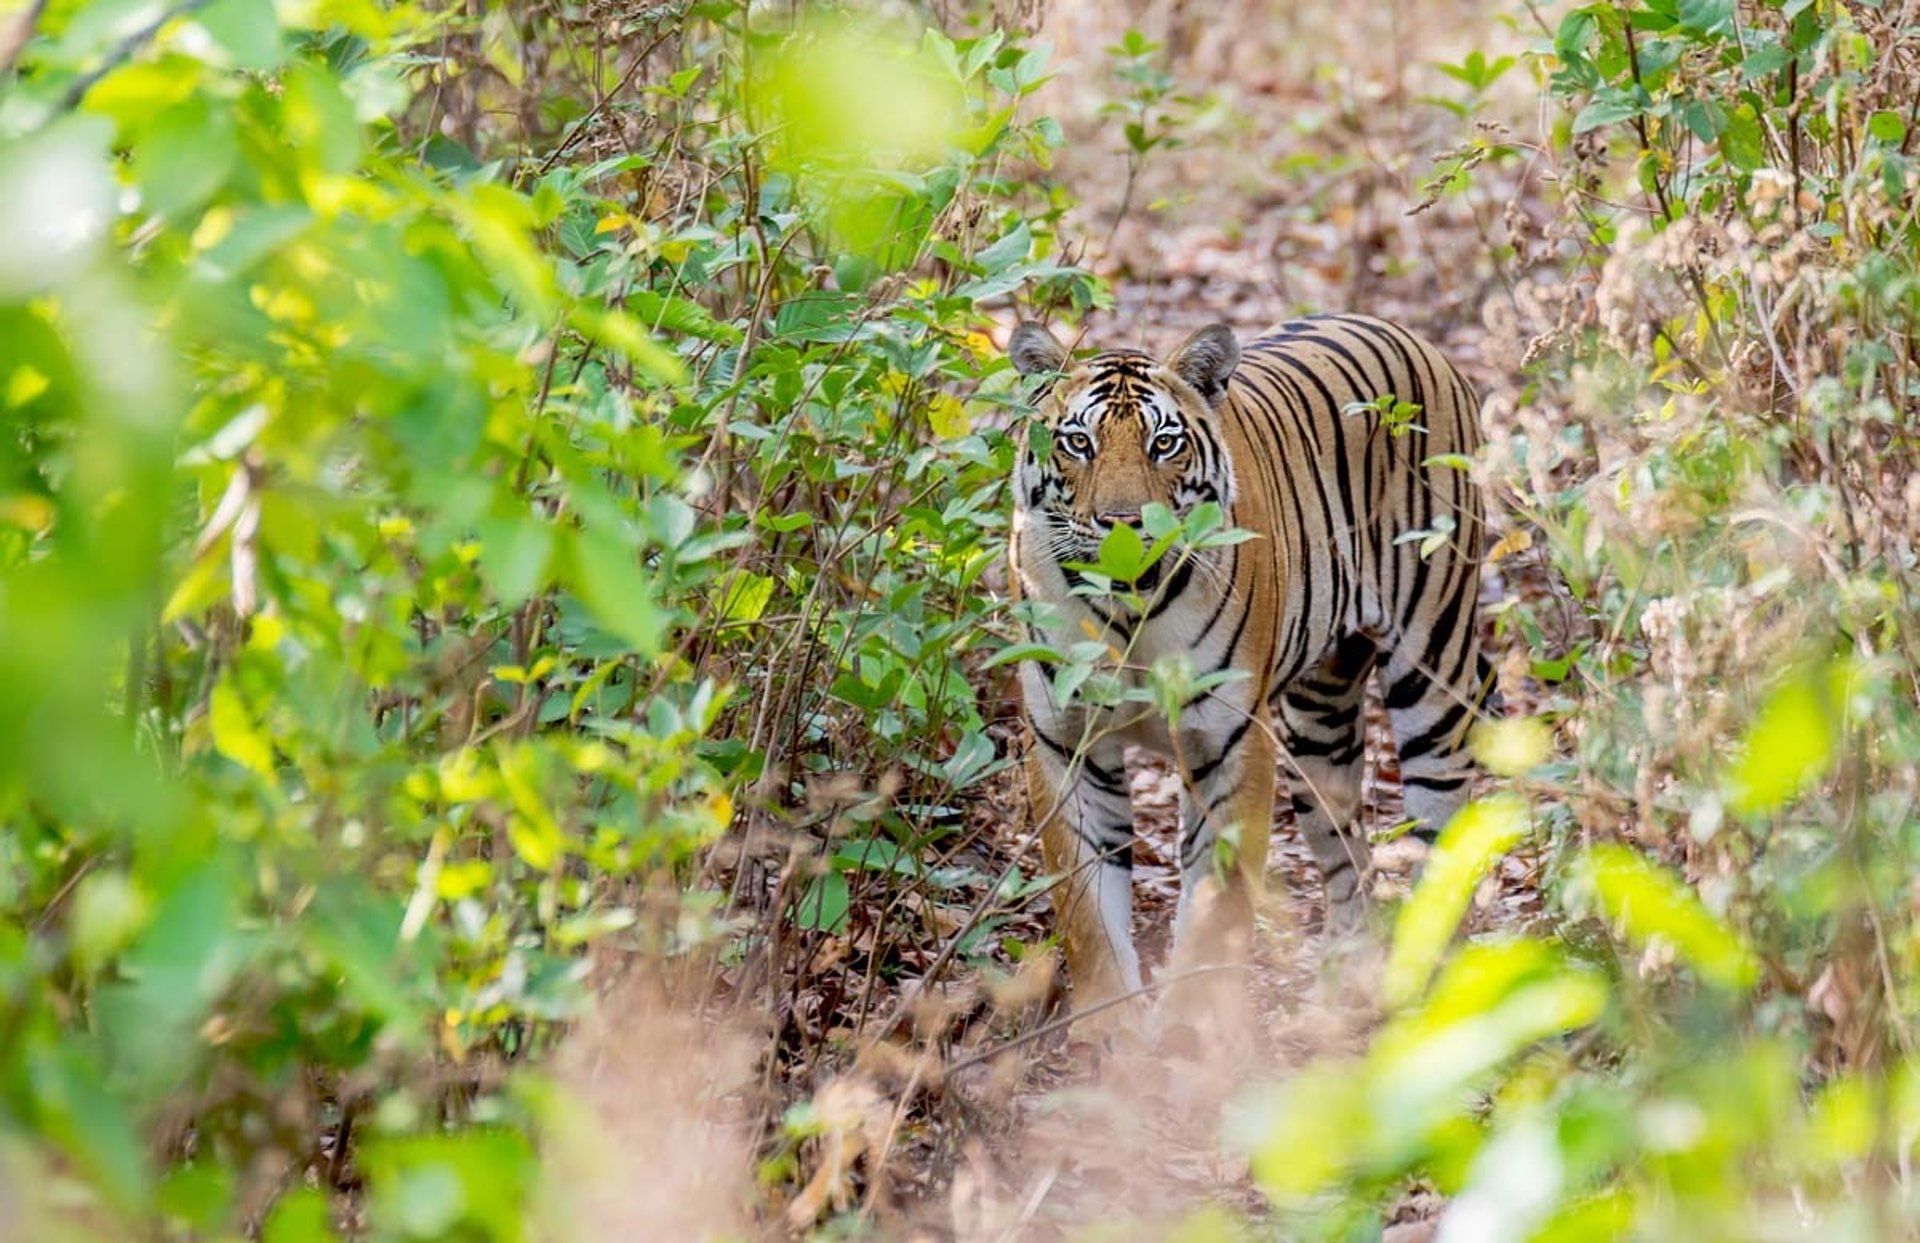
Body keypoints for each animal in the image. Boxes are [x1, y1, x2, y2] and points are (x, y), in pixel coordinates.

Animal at [1005, 313, 1495, 1030]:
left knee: (1443, 834)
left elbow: (1217, 900)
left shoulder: (1228, 739)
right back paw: (1333, 1000)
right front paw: (1110, 1036)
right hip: (1319, 725)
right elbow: (1087, 907)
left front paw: (1189, 1033)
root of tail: (1415, 338)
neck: (1127, 612)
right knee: (1350, 859)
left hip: (1432, 669)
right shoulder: (1066, 741)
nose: (1122, 525)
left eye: (1163, 443)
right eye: (1077, 442)